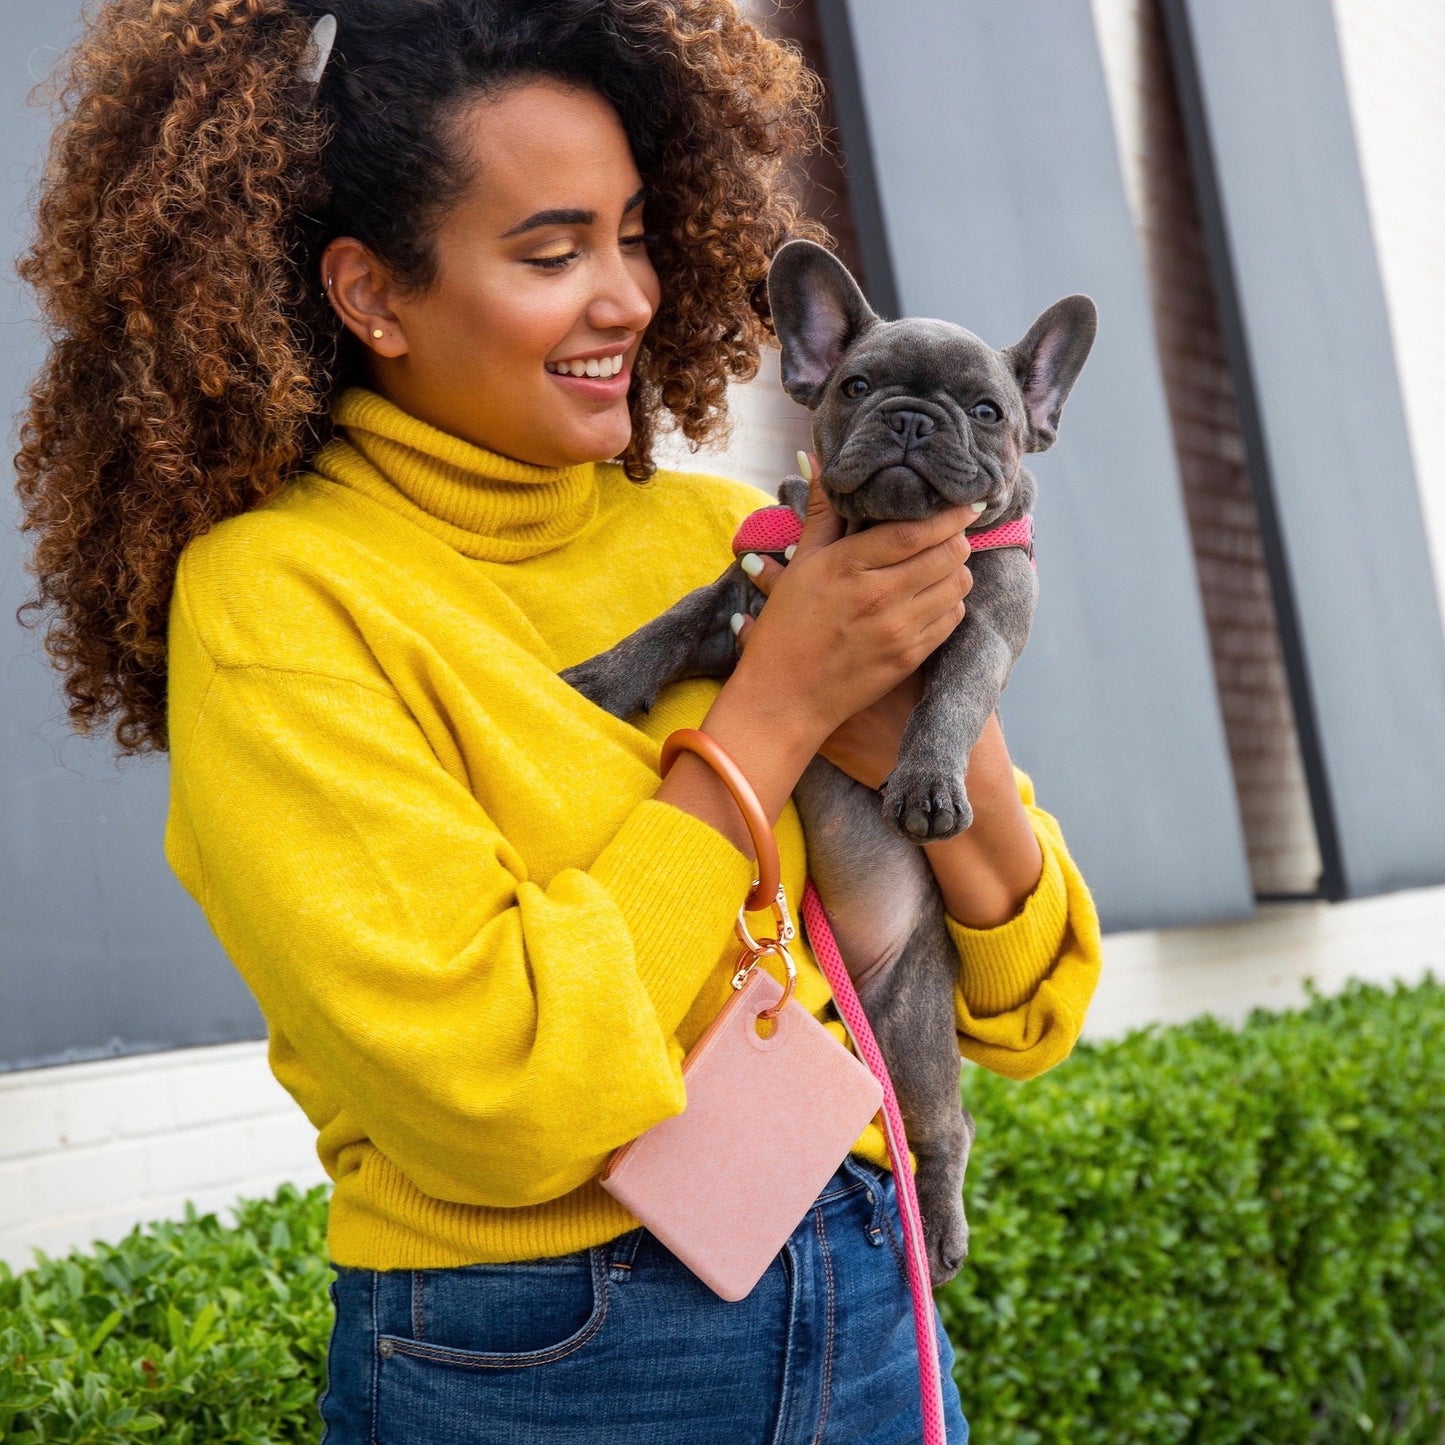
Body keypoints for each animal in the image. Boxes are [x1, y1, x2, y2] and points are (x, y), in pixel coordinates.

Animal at [563, 239, 1092, 1288]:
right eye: (856, 385)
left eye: (987, 412)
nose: (910, 417)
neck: (875, 537)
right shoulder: (744, 595)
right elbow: (668, 625)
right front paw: (604, 677)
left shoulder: (984, 624)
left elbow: (949, 700)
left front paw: (926, 784)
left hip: (920, 1041)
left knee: (947, 1129)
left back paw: (942, 1232)